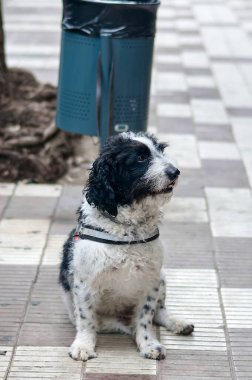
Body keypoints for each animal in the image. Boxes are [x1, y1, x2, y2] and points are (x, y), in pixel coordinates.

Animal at [60, 133, 194, 362]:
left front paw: (148, 344)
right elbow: (86, 320)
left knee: (160, 312)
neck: (128, 231)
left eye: (161, 150)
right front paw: (84, 345)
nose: (175, 172)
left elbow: (146, 317)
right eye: (140, 158)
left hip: (162, 277)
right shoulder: (84, 282)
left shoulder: (151, 279)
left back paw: (178, 322)